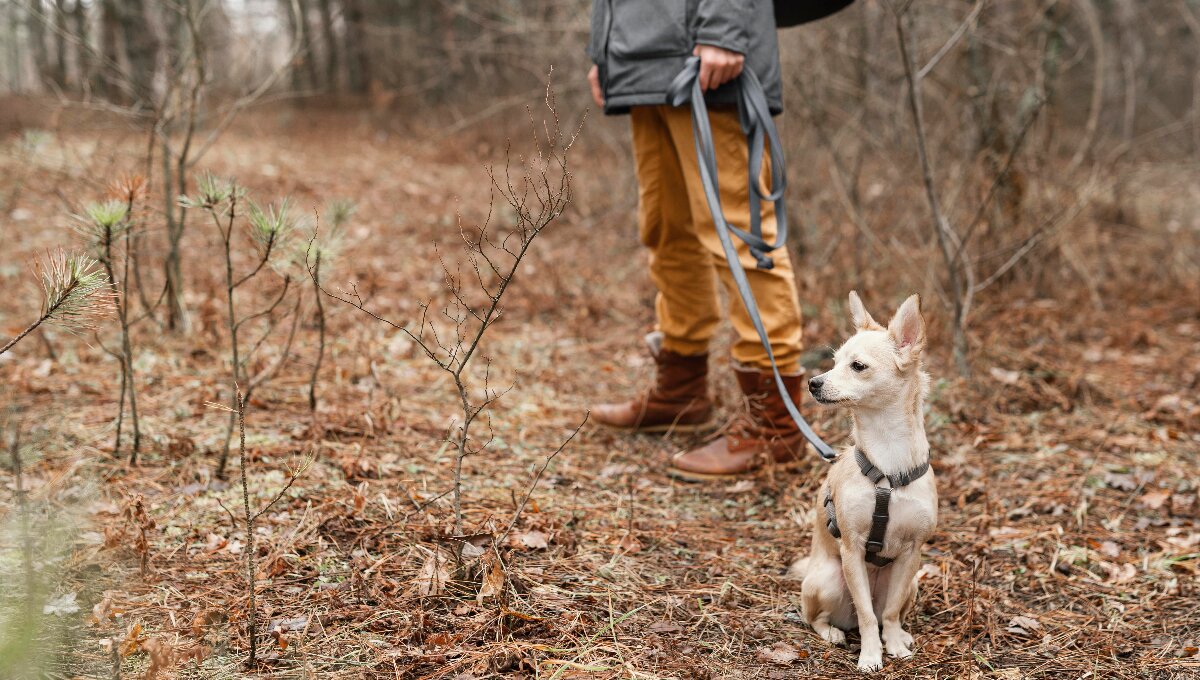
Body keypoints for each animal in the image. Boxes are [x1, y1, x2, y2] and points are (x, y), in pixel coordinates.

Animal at [796, 291, 936, 671]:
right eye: (832, 362)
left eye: (857, 366)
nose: (813, 382)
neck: (887, 466)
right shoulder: (852, 550)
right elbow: (867, 615)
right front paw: (871, 654)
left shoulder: (912, 553)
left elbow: (887, 612)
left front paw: (894, 645)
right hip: (829, 579)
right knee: (816, 618)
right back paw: (833, 633)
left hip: (912, 583)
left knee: (892, 610)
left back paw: (900, 634)